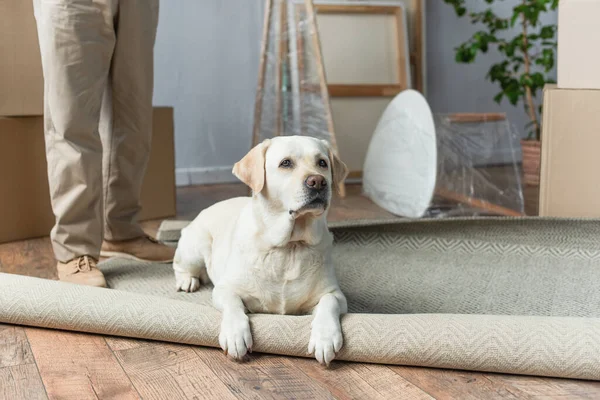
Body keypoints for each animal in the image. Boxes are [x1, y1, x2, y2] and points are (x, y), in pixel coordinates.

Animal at [171, 137, 350, 366]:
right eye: (286, 163)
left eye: (322, 163)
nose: (318, 182)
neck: (289, 245)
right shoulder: (225, 289)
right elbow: (233, 304)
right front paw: (235, 335)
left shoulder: (334, 294)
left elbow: (329, 303)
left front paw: (325, 338)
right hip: (195, 246)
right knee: (181, 265)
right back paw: (187, 281)